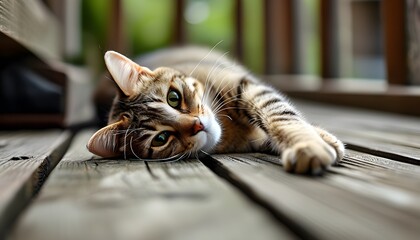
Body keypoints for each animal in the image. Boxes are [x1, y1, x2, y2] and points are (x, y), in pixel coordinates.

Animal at [88, 46, 344, 174]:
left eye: (173, 98)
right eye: (161, 139)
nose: (198, 125)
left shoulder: (246, 86)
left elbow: (280, 114)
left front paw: (315, 141)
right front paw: (313, 145)